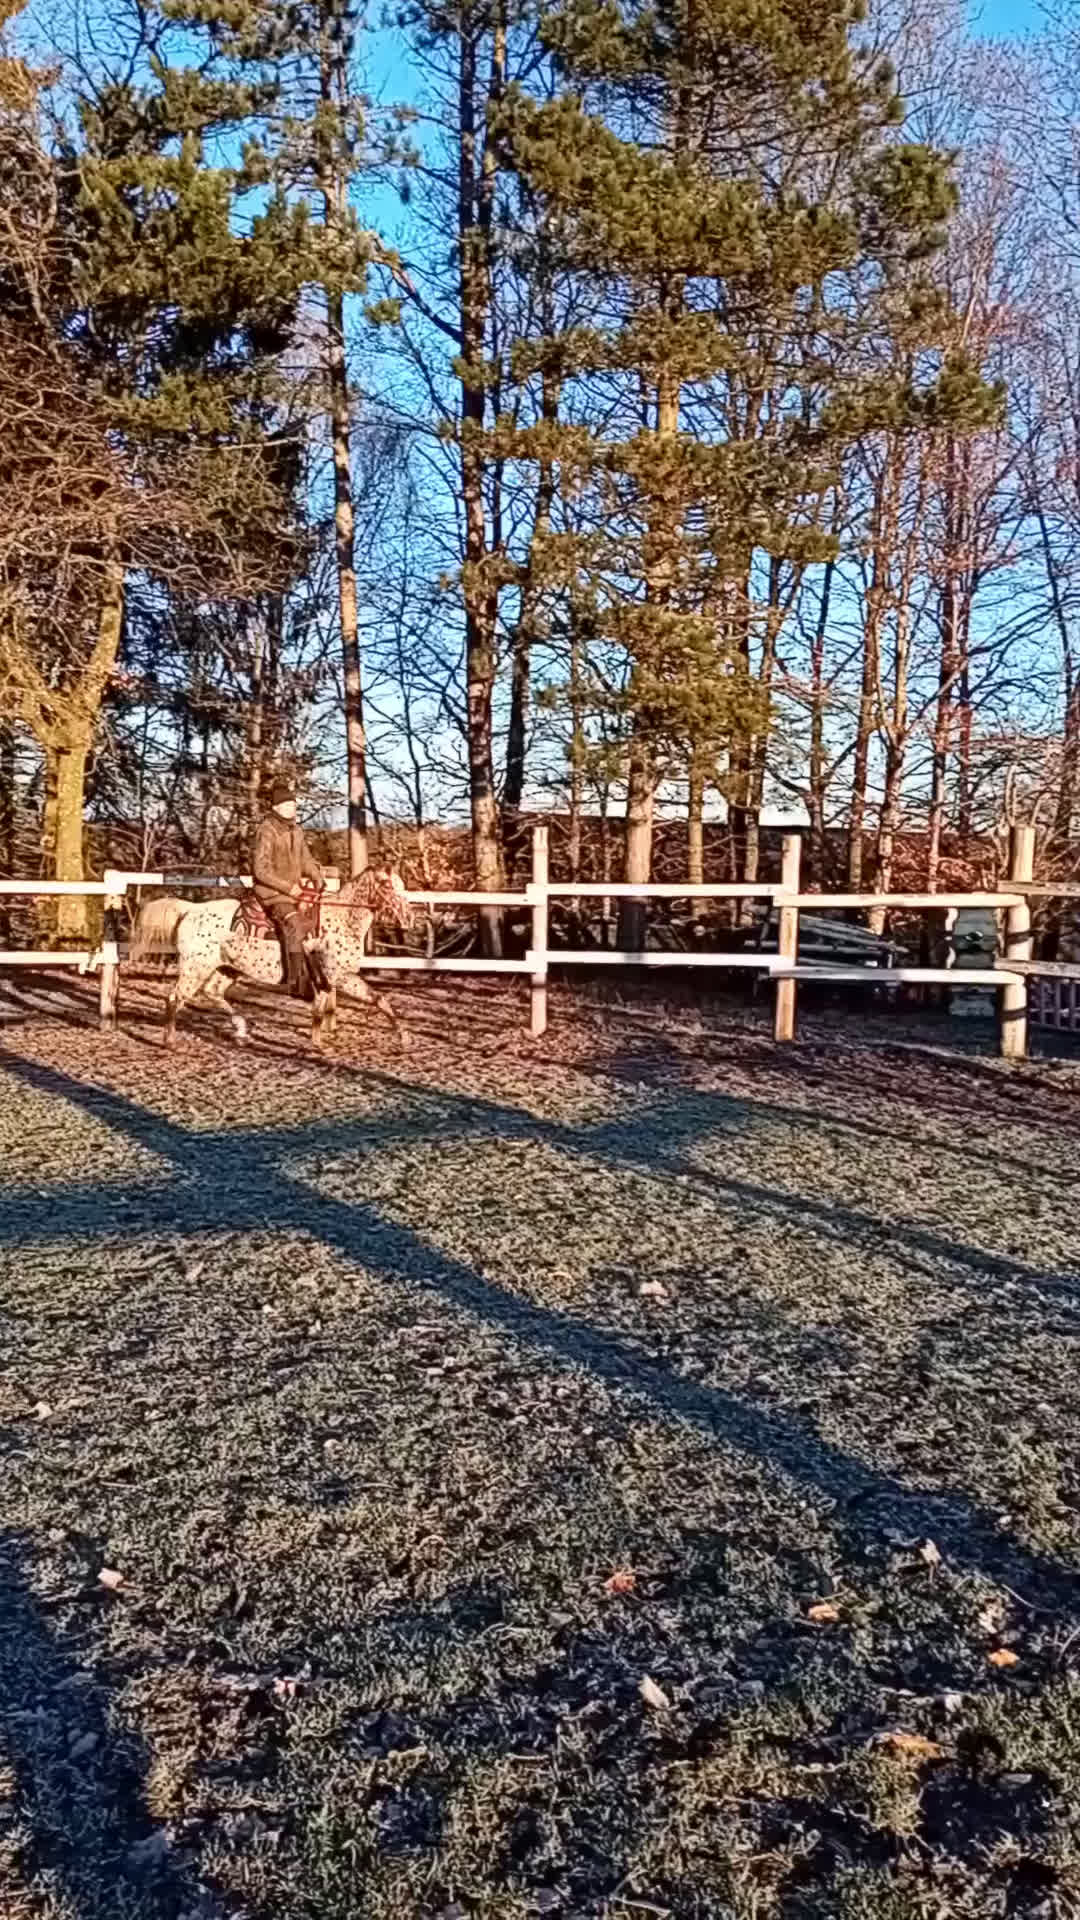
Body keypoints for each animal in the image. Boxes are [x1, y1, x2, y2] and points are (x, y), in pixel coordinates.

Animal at [129, 868, 415, 1050]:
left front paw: (404, 1039)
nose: (409, 918)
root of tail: (190, 910)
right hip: (195, 968)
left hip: (226, 969)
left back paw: (241, 1030)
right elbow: (325, 1009)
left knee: (212, 993)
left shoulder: (337, 978)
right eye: (387, 885)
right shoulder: (334, 977)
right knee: (175, 998)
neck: (341, 919)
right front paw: (317, 1044)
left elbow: (374, 1001)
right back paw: (170, 1042)